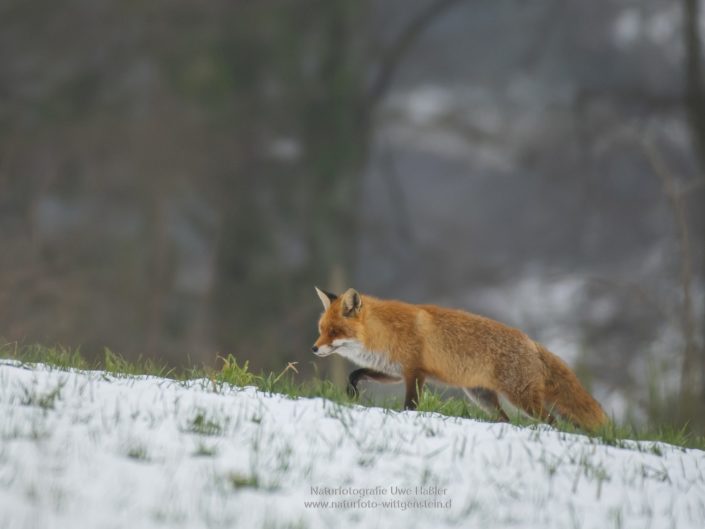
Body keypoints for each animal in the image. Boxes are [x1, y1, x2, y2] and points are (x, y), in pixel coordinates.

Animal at [310, 286, 608, 432]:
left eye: (334, 332)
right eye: (321, 329)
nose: (314, 349)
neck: (383, 332)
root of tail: (531, 342)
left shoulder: (415, 372)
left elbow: (410, 406)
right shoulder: (395, 371)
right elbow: (357, 373)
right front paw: (351, 390)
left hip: (522, 400)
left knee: (552, 421)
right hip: (482, 397)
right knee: (506, 419)